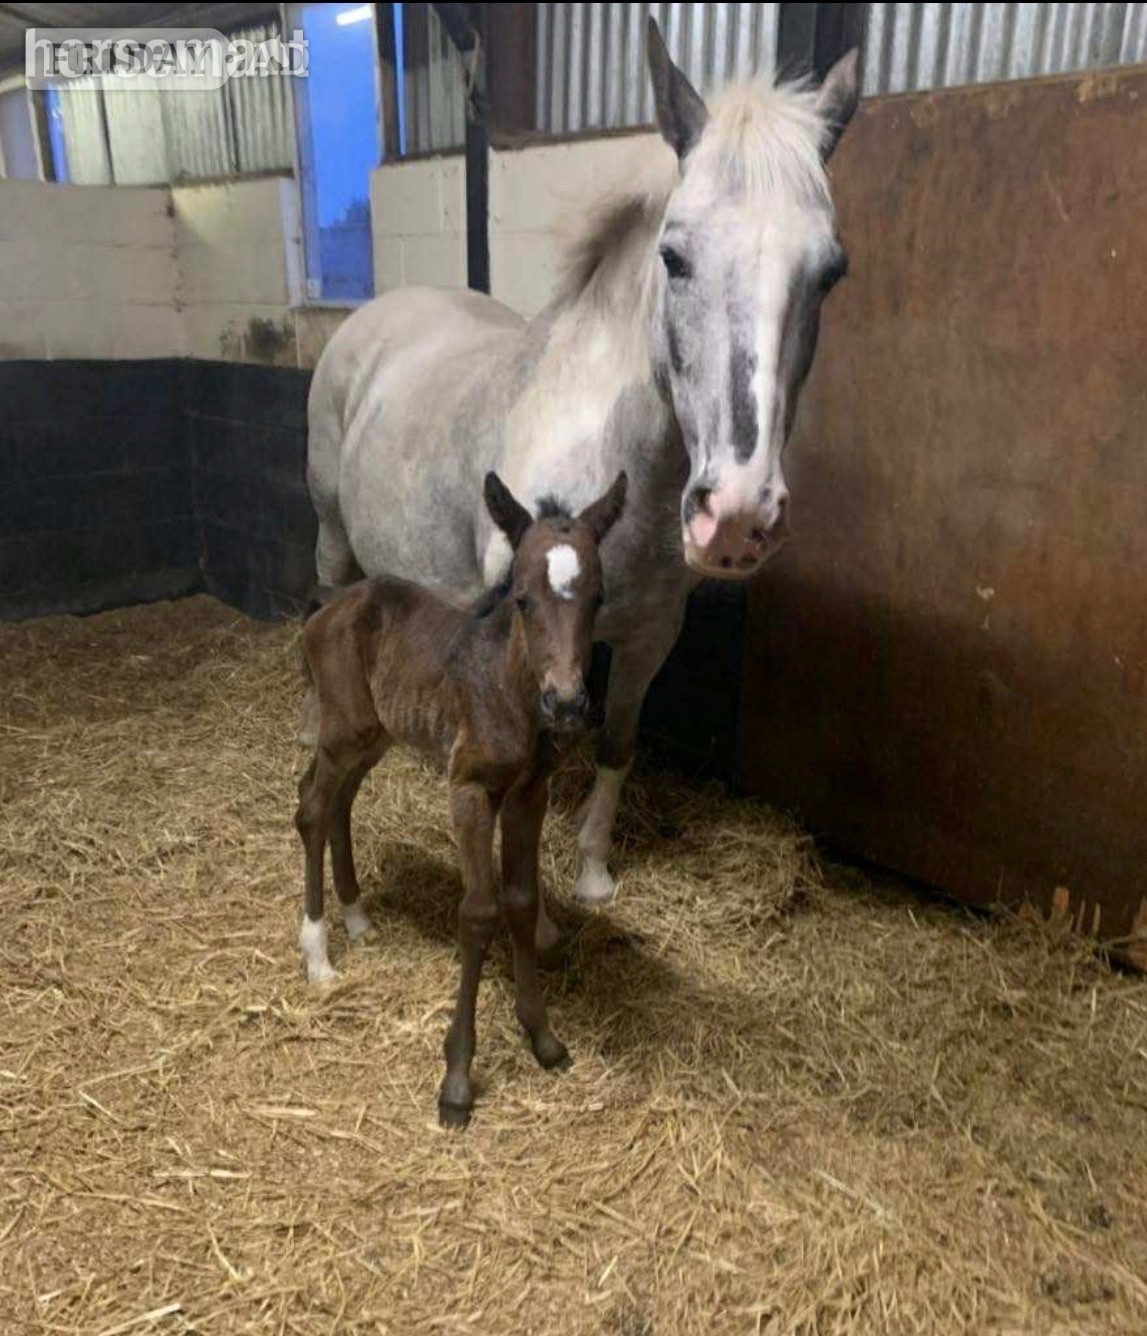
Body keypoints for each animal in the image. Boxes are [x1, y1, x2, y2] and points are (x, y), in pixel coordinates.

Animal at [296, 471, 628, 1126]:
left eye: (598, 598)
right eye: (522, 599)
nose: (567, 703)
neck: (508, 688)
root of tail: (331, 604)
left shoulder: (529, 794)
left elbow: (522, 901)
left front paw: (543, 1038)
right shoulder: (470, 790)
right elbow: (479, 913)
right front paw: (456, 1080)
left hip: (374, 735)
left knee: (335, 802)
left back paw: (357, 918)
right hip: (343, 729)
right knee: (313, 810)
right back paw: (318, 952)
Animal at [304, 19, 859, 930]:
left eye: (830, 271)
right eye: (673, 256)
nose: (736, 516)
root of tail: (377, 316)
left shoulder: (649, 634)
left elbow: (615, 742)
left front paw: (593, 871)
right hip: (330, 534)